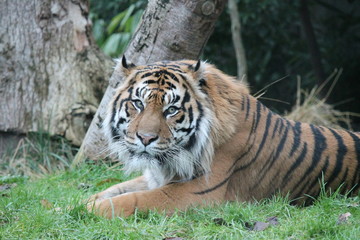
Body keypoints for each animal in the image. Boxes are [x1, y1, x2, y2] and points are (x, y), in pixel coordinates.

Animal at [86, 57, 360, 218]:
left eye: (171, 110)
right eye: (138, 103)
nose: (145, 138)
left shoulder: (200, 191)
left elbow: (132, 200)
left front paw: (87, 210)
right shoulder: (156, 177)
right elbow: (113, 190)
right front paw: (79, 203)